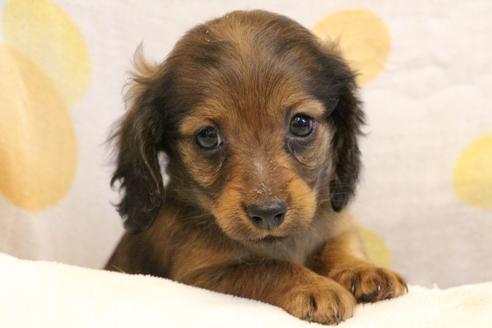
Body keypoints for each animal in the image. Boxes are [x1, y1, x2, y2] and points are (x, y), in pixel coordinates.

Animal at [104, 9, 408, 322]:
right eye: (207, 136)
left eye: (301, 123)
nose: (268, 213)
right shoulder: (201, 274)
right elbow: (268, 268)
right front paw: (315, 287)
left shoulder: (336, 225)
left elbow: (341, 243)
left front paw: (363, 270)